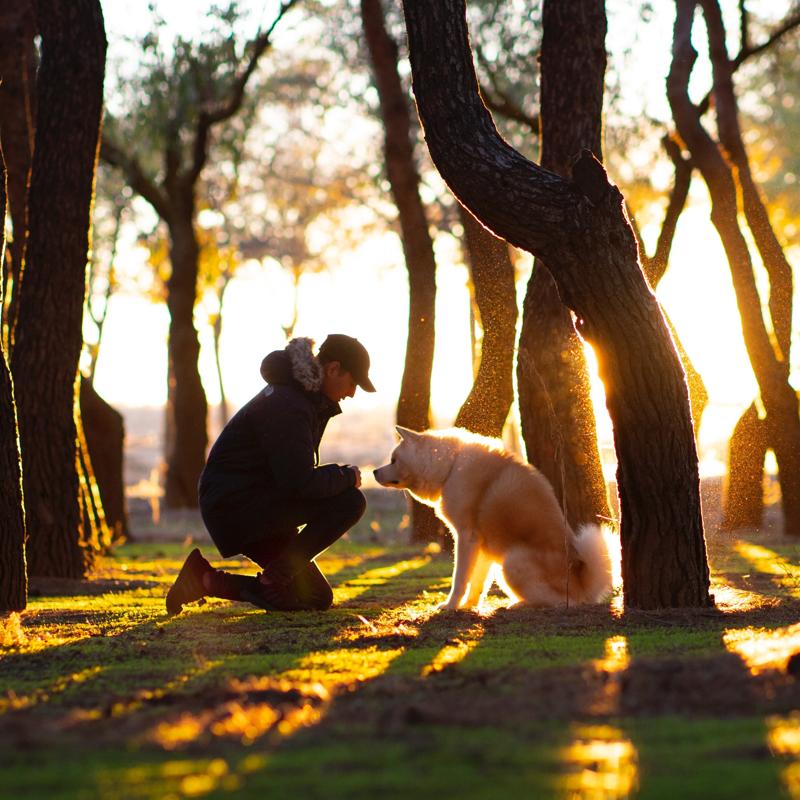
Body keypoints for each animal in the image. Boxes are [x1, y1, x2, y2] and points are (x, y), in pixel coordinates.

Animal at [374, 428, 612, 608]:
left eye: (394, 460)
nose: (375, 471)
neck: (451, 465)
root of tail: (582, 584)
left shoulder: (466, 538)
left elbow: (460, 579)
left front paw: (451, 606)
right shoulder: (483, 545)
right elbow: (478, 583)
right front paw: (469, 606)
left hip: (511, 562)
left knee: (561, 601)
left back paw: (520, 604)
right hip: (502, 564)